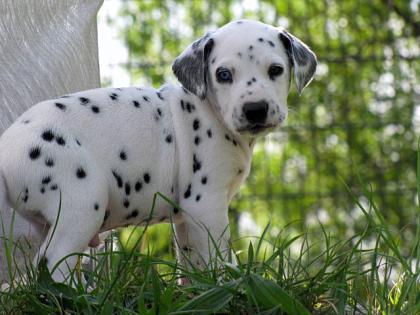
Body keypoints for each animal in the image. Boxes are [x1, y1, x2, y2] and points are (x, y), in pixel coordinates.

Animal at [0, 19, 316, 282]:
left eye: (276, 70)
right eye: (223, 74)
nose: (255, 109)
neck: (209, 111)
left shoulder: (187, 219)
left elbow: (193, 265)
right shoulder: (206, 206)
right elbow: (216, 259)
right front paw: (229, 287)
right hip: (81, 206)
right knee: (50, 263)